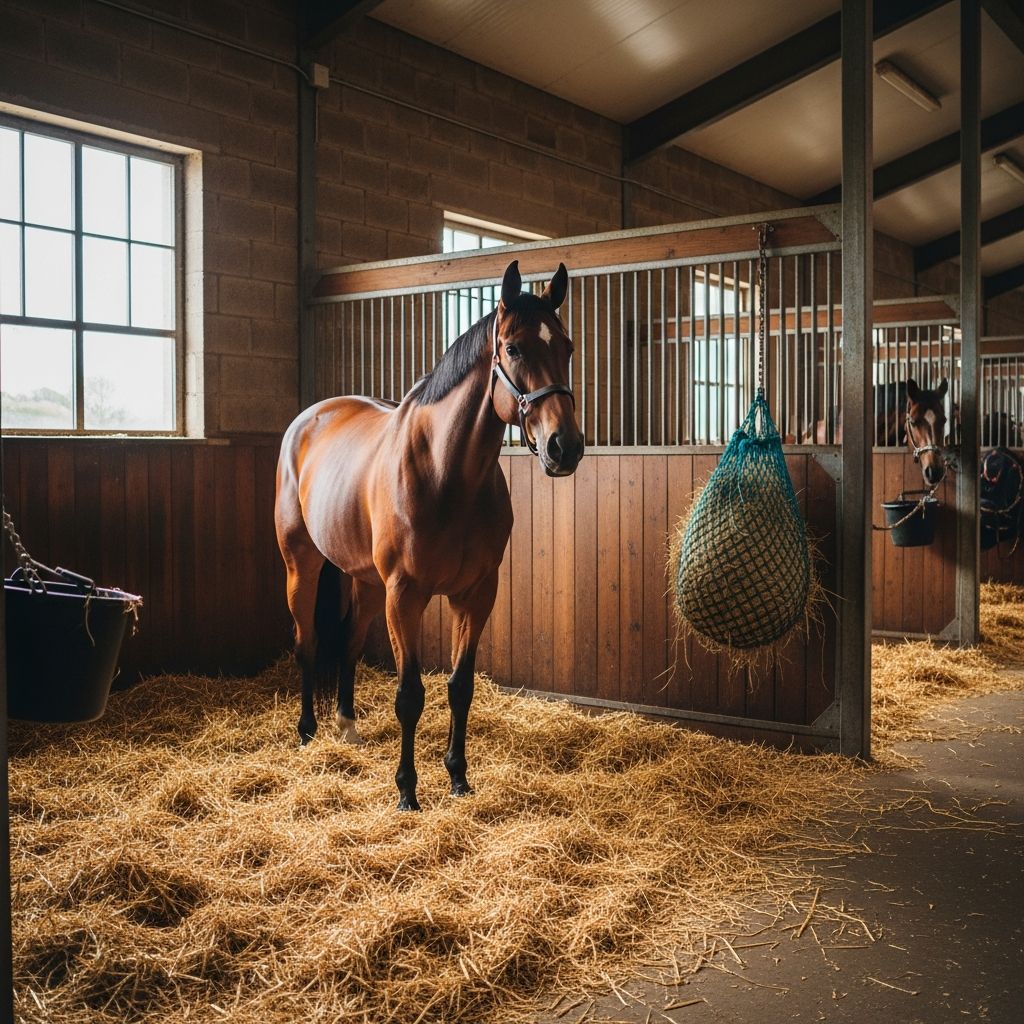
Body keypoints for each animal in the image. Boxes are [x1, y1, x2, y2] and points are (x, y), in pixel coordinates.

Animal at [275, 261, 584, 810]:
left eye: (566, 347)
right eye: (513, 348)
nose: (564, 447)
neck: (446, 472)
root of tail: (307, 419)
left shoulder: (477, 593)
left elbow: (460, 687)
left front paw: (458, 777)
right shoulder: (405, 595)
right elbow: (409, 695)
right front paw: (407, 791)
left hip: (366, 581)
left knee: (349, 641)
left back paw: (346, 724)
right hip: (302, 565)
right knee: (307, 642)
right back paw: (308, 729)